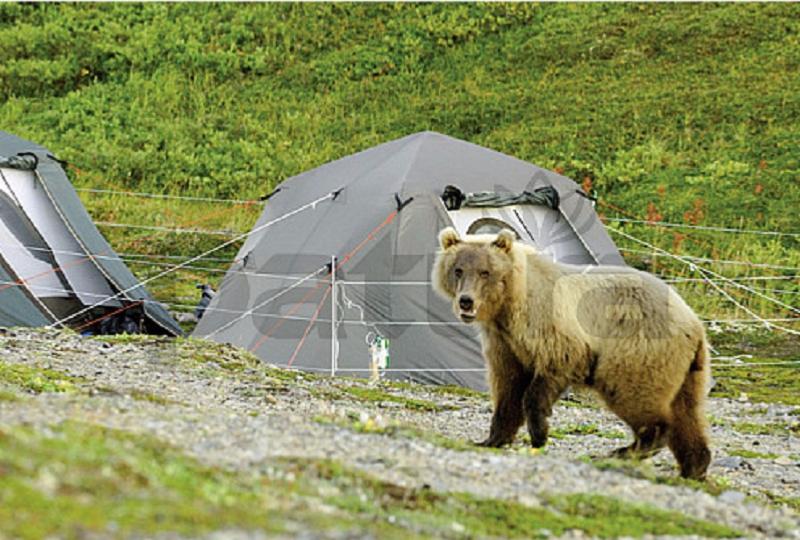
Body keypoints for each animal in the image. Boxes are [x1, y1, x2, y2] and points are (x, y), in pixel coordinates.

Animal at [432, 226, 712, 478]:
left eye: (485, 272)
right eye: (457, 270)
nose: (466, 301)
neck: (510, 305)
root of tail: (694, 323)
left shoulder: (551, 327)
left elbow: (548, 373)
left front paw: (539, 433)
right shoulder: (504, 342)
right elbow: (508, 386)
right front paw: (491, 439)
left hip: (638, 349)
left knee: (636, 395)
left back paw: (625, 451)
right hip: (685, 368)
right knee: (686, 413)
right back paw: (693, 466)